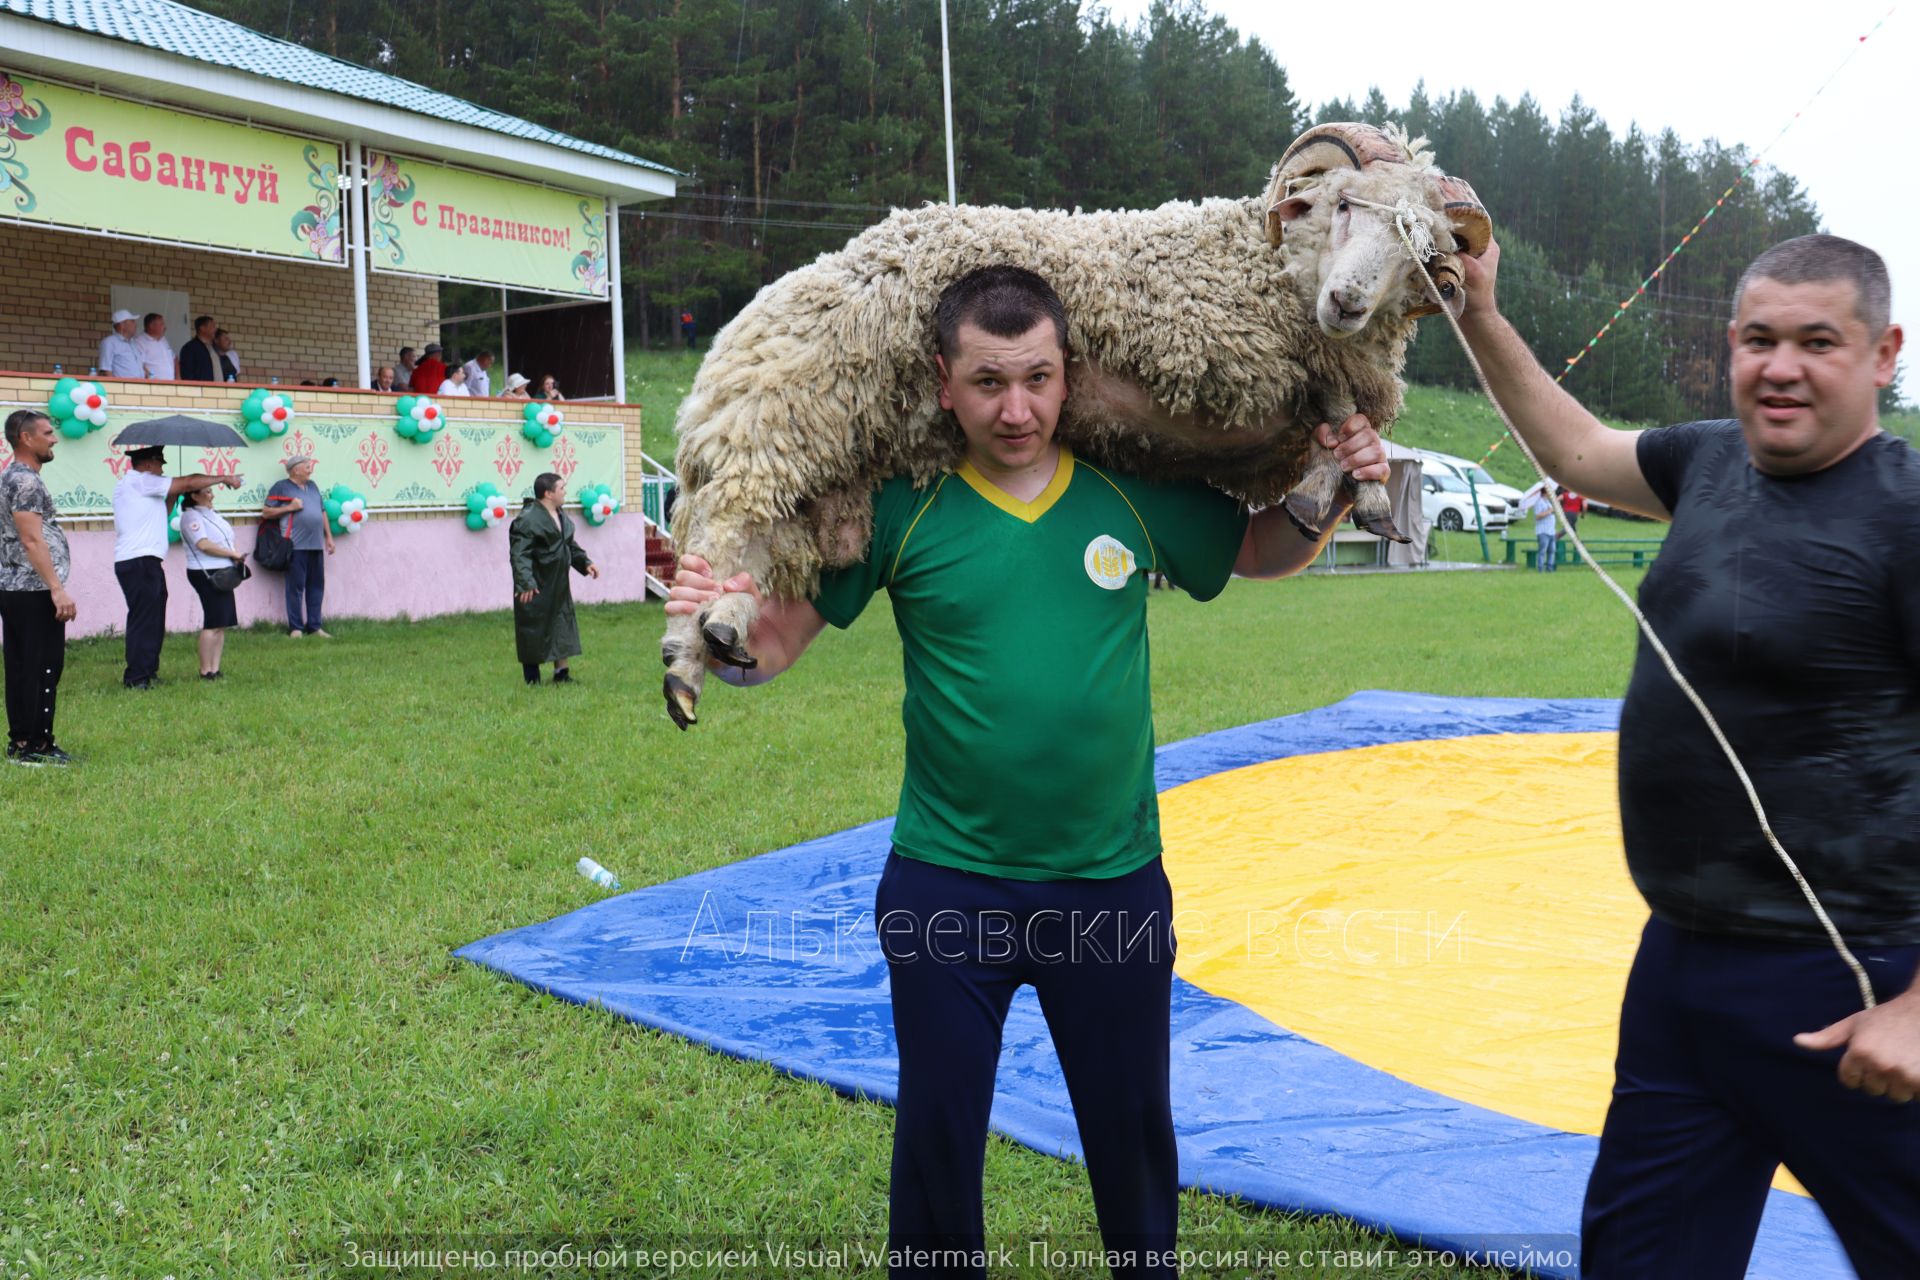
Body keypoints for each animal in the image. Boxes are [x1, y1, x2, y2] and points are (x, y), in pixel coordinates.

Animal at [668, 128, 1489, 729]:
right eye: (1344, 203)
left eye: (1420, 251)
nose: (1348, 300)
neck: (1266, 262)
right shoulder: (1285, 357)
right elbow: (1339, 409)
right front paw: (1354, 495)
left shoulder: (1316, 366)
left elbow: (1341, 426)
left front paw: (1345, 490)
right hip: (792, 406)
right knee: (729, 519)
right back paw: (685, 654)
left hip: (836, 453)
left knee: (764, 541)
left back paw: (723, 627)